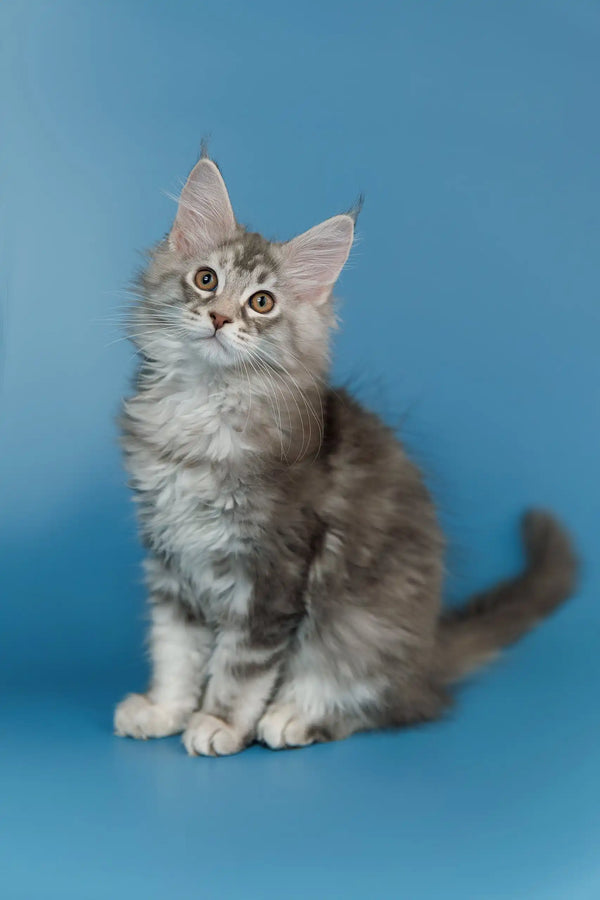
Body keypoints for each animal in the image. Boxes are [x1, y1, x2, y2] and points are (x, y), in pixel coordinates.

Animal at [112, 158, 576, 756]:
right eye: (206, 279)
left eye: (261, 302)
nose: (218, 318)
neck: (205, 406)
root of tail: (425, 658)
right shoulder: (171, 561)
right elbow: (175, 648)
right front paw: (165, 709)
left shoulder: (274, 567)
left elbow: (241, 664)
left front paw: (218, 723)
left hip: (362, 628)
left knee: (380, 703)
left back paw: (293, 718)